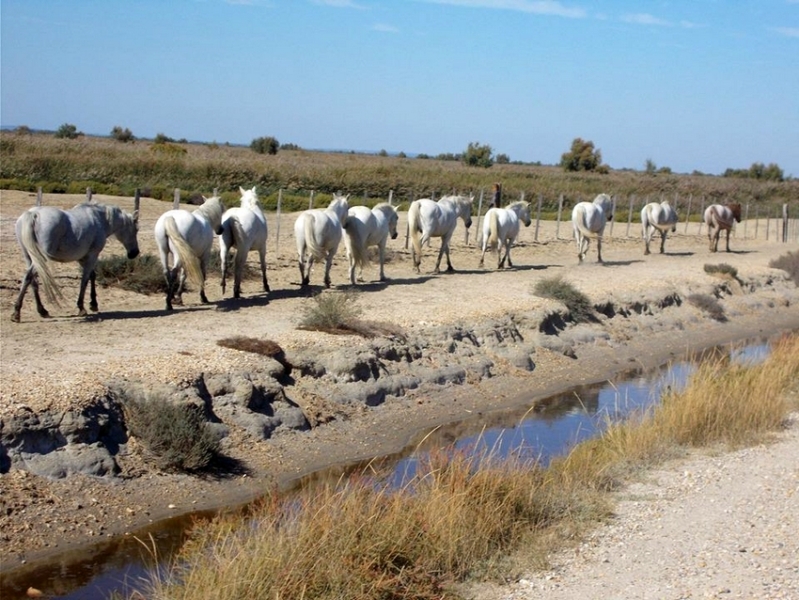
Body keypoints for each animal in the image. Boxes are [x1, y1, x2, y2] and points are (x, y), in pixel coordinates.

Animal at [12, 200, 140, 324]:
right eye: (136, 230)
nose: (134, 253)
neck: (100, 219)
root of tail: (33, 213)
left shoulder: (82, 258)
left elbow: (92, 275)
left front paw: (93, 304)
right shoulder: (92, 255)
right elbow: (85, 280)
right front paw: (82, 307)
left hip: (29, 256)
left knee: (32, 281)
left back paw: (41, 310)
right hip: (40, 258)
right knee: (28, 277)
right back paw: (17, 313)